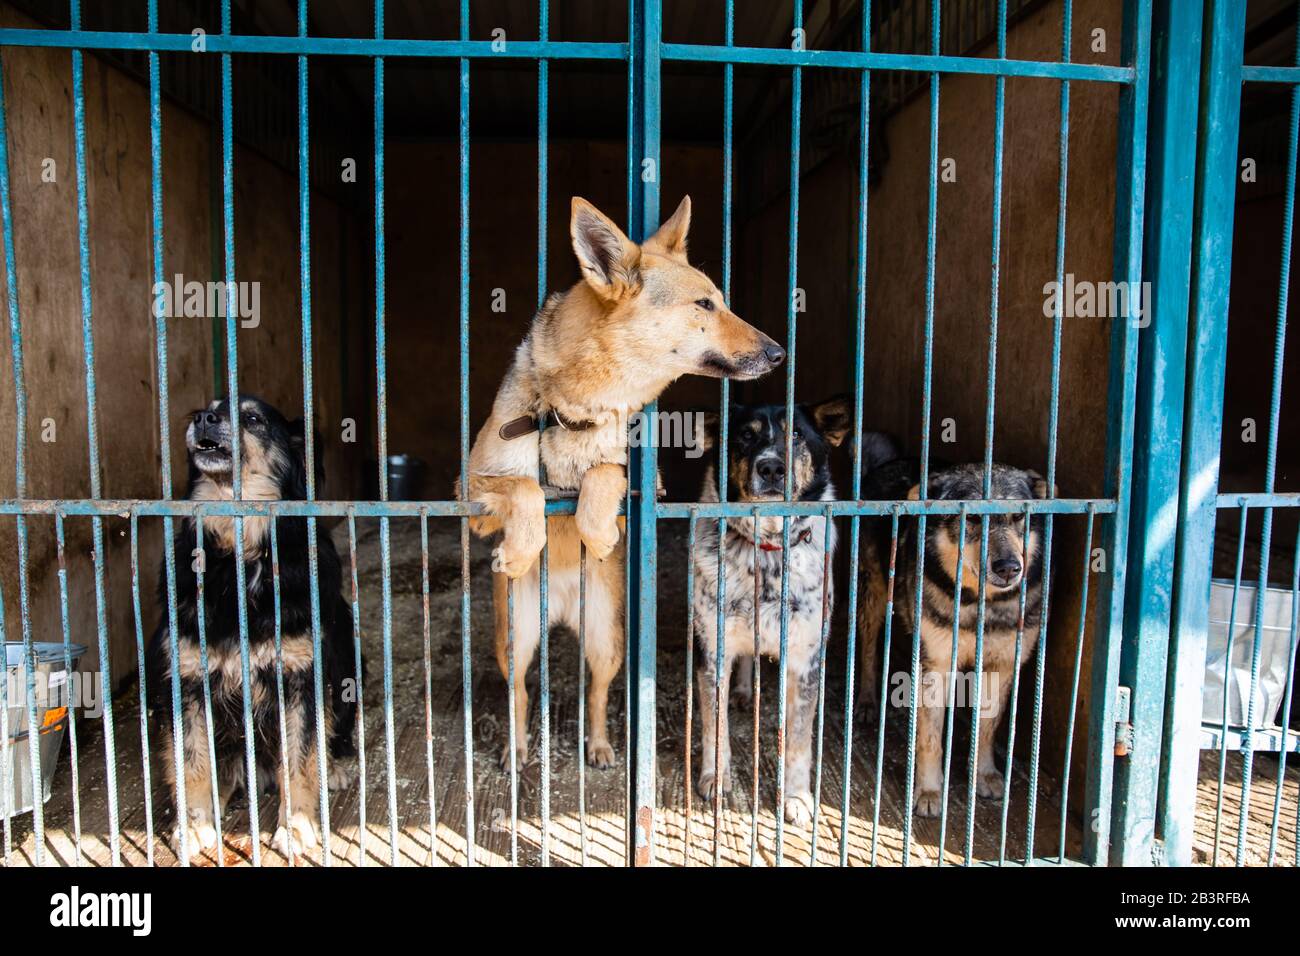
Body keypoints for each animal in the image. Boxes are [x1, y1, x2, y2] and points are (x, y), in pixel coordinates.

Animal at [146, 395, 361, 858]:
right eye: (207, 407)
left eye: (252, 419)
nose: (202, 419)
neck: (237, 556)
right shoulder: (186, 679)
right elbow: (191, 762)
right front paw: (194, 826)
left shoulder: (300, 678)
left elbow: (299, 762)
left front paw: (296, 827)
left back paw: (335, 766)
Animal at [465, 195, 780, 770]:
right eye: (705, 304)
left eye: (720, 301)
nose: (779, 354)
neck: (575, 414)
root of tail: (562, 606)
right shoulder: (470, 495)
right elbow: (525, 488)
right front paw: (521, 547)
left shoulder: (646, 488)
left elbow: (605, 473)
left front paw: (595, 527)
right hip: (513, 639)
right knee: (519, 690)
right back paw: (516, 748)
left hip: (606, 639)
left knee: (596, 691)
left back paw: (600, 746)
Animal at [686, 395, 857, 822]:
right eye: (746, 436)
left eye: (796, 433)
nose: (771, 467)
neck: (766, 551)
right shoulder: (711, 651)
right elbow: (715, 725)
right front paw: (715, 777)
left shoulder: (806, 661)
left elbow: (798, 739)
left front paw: (795, 796)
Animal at [857, 460, 1050, 816]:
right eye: (971, 517)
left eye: (1019, 516)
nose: (1009, 567)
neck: (980, 603)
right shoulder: (936, 665)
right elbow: (931, 739)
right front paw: (930, 791)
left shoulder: (1002, 665)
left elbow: (987, 727)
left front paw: (984, 774)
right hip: (874, 594)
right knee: (867, 649)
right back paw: (865, 700)